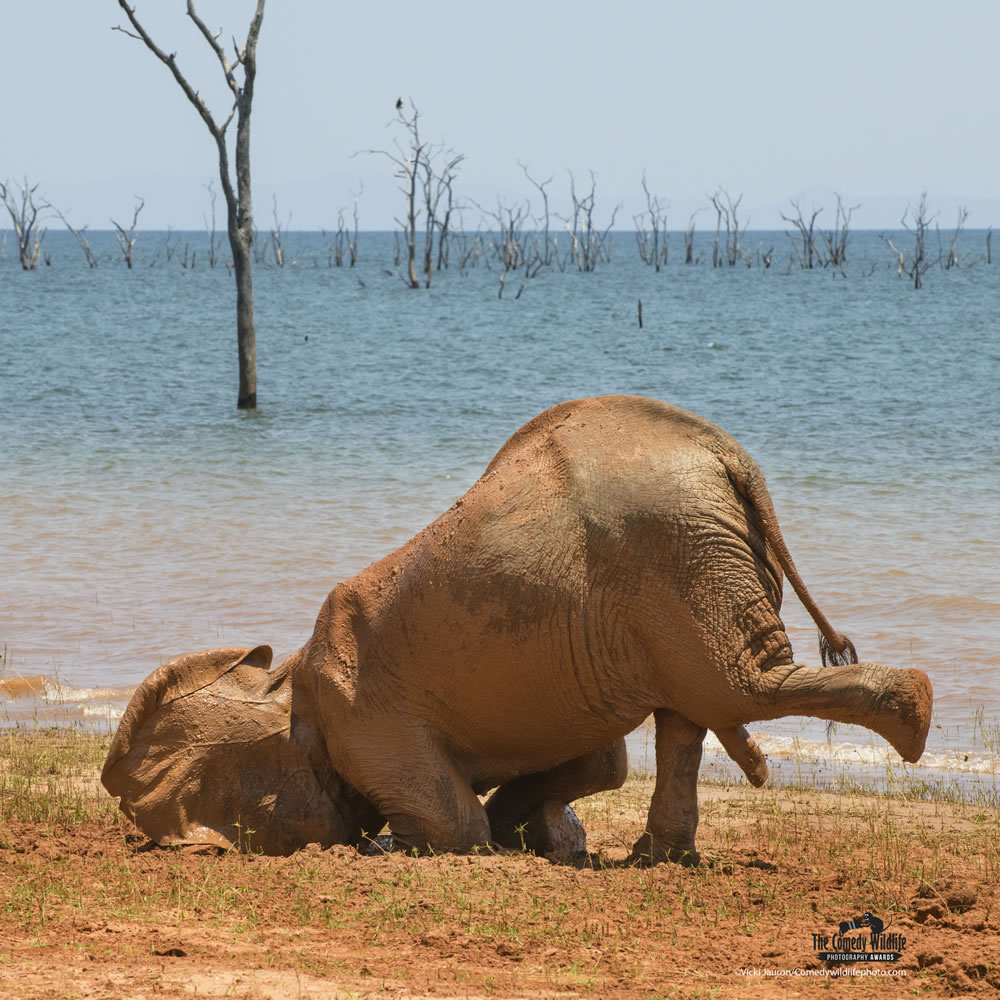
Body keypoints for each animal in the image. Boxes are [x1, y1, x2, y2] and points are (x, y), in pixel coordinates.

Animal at [101, 394, 928, 864]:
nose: (368, 836)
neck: (285, 680)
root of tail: (731, 458)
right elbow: (599, 766)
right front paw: (538, 839)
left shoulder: (364, 719)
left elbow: (457, 823)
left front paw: (405, 844)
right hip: (687, 565)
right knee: (691, 713)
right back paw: (657, 858)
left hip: (679, 551)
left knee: (733, 689)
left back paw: (914, 716)